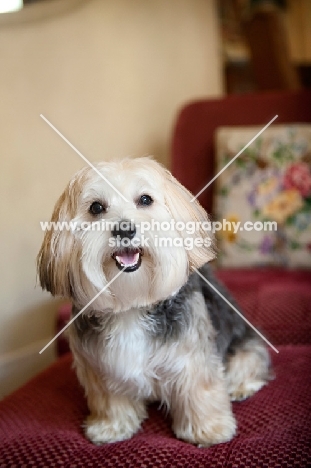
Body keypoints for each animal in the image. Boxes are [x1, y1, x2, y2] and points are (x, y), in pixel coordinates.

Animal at [37, 157, 272, 446]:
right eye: (96, 207)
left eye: (145, 200)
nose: (124, 229)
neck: (132, 304)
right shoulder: (100, 367)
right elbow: (110, 400)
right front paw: (111, 426)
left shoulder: (192, 358)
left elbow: (199, 389)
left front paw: (207, 429)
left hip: (244, 346)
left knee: (249, 362)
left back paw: (240, 386)